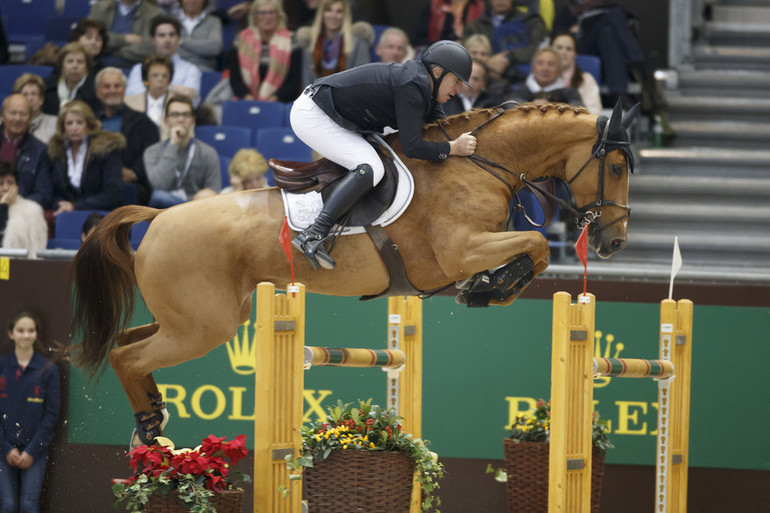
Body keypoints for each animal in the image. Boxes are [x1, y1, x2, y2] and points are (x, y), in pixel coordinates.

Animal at [72, 102, 636, 442]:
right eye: (615, 167)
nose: (614, 243)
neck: (478, 165)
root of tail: (158, 216)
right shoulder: (460, 250)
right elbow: (536, 246)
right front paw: (489, 287)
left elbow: (533, 250)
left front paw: (487, 286)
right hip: (204, 326)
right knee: (127, 355)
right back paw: (149, 427)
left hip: (199, 318)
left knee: (128, 343)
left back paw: (152, 420)